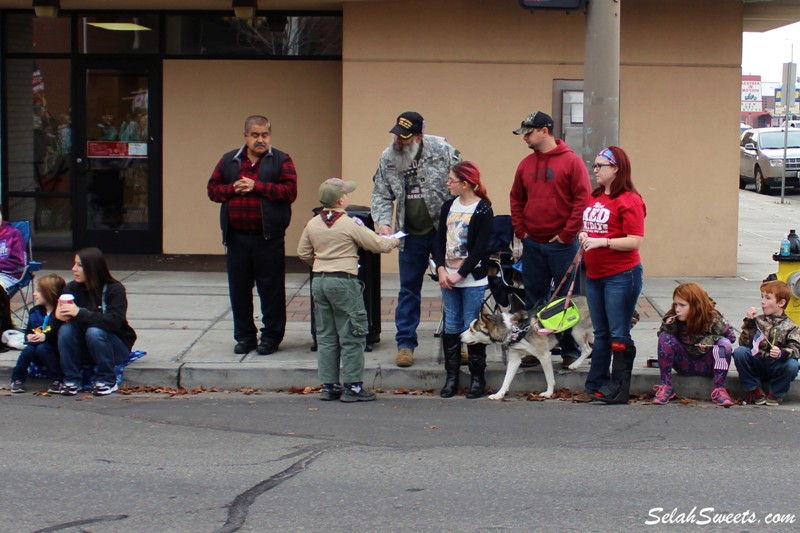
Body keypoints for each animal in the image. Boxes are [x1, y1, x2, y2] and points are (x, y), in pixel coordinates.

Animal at [462, 296, 592, 400]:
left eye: (472, 330)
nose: (459, 336)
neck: (514, 329)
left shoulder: (544, 356)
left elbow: (549, 378)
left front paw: (549, 393)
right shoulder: (514, 360)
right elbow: (506, 379)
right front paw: (499, 394)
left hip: (577, 332)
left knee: (587, 349)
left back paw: (576, 364)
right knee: (588, 350)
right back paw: (575, 364)